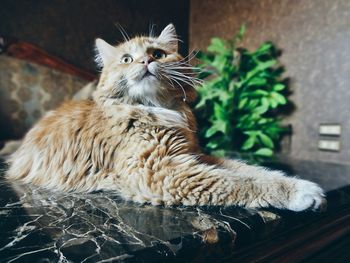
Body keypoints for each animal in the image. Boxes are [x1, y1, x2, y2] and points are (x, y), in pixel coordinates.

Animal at [5, 23, 326, 211]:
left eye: (158, 54)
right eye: (126, 59)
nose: (145, 61)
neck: (157, 109)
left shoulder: (193, 155)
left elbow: (252, 171)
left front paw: (297, 183)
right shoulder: (160, 170)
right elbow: (242, 183)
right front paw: (299, 193)